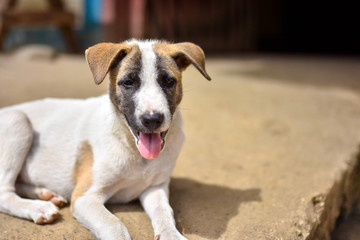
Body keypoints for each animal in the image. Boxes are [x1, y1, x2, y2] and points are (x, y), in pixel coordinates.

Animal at [0, 39, 211, 240]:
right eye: (128, 82)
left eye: (168, 81)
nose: (152, 119)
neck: (133, 150)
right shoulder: (85, 197)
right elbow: (114, 224)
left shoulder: (155, 187)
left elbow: (164, 213)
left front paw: (172, 234)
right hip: (18, 120)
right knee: (5, 193)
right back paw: (38, 207)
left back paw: (46, 194)